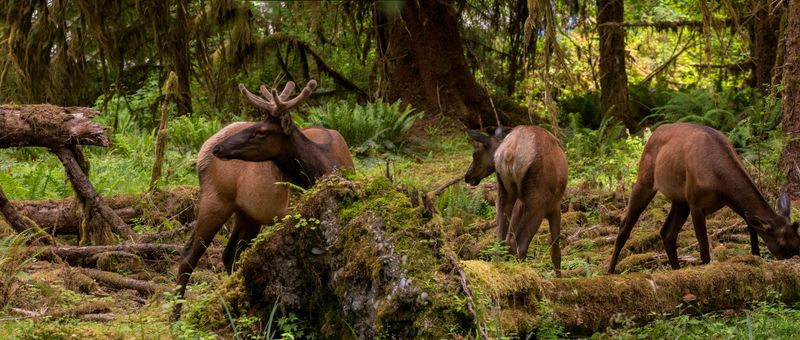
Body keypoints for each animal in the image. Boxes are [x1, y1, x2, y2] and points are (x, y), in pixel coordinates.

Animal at [173, 79, 352, 318]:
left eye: (261, 131)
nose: (218, 149)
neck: (324, 167)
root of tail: (202, 151)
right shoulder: (288, 211)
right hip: (216, 199)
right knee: (188, 256)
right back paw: (175, 317)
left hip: (248, 214)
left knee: (231, 254)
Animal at [462, 126, 568, 274]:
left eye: (475, 154)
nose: (467, 176)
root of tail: (510, 151)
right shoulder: (554, 207)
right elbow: (555, 251)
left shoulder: (520, 204)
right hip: (538, 201)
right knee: (519, 243)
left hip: (505, 192)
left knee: (501, 241)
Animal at [608, 122, 800, 274]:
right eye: (783, 245)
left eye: (797, 238)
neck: (720, 181)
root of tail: (653, 134)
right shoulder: (696, 203)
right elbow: (704, 252)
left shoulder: (730, 201)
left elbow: (752, 229)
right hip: (645, 181)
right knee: (624, 228)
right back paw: (610, 271)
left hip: (680, 200)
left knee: (667, 233)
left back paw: (676, 270)